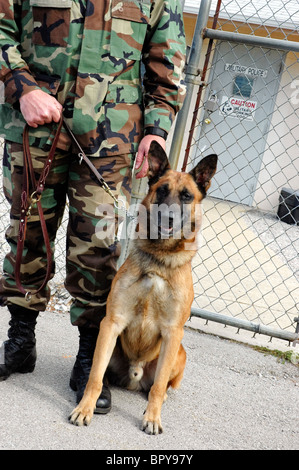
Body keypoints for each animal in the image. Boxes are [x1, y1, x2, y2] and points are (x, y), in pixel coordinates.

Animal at [69, 141, 217, 436]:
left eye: (186, 196)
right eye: (161, 190)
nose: (167, 218)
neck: (159, 260)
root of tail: (135, 375)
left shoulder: (173, 332)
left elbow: (158, 386)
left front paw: (152, 417)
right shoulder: (111, 323)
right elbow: (94, 377)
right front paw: (85, 408)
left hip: (179, 352)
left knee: (161, 384)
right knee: (102, 372)